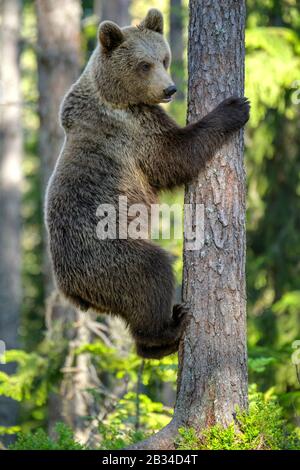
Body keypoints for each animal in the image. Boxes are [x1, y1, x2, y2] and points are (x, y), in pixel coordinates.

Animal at [45, 8, 251, 360]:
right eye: (144, 64)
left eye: (164, 59)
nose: (170, 89)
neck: (113, 96)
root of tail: (73, 291)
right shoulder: (133, 132)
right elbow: (175, 156)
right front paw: (235, 107)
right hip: (108, 252)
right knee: (149, 274)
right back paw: (168, 329)